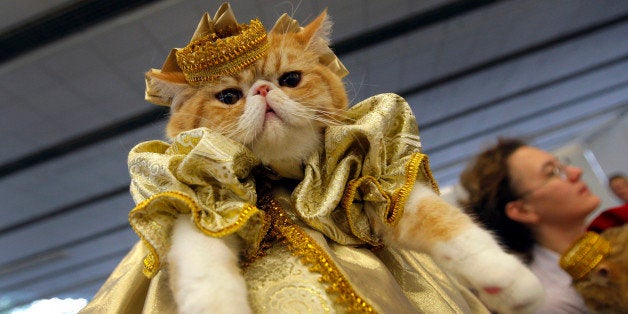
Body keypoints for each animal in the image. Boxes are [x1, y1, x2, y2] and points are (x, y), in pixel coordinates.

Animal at [144, 7, 544, 314]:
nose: (263, 90)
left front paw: (507, 277)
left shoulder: (370, 185)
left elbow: (446, 222)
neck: (279, 178)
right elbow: (204, 266)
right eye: (228, 97)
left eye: (290, 79)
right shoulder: (204, 204)